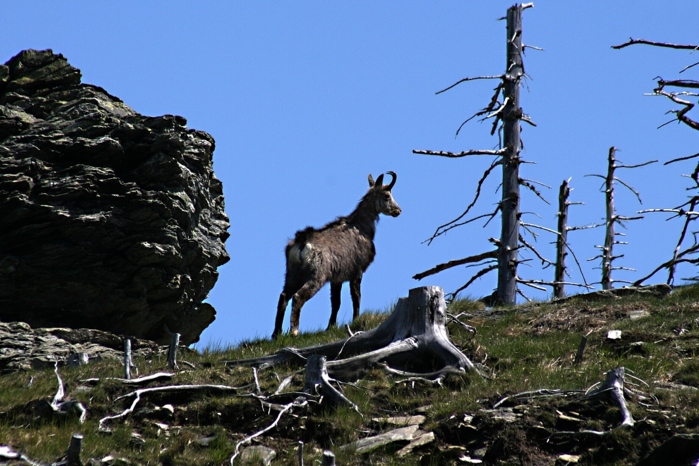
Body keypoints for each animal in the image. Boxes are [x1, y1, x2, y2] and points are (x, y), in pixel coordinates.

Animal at [272, 171, 401, 339]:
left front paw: (330, 327)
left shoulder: (336, 279)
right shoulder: (357, 272)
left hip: (292, 273)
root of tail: (302, 242)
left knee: (283, 296)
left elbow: (336, 302)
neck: (361, 227)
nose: (398, 210)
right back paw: (294, 331)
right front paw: (355, 320)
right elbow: (356, 297)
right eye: (387, 195)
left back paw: (276, 334)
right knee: (298, 296)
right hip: (317, 275)